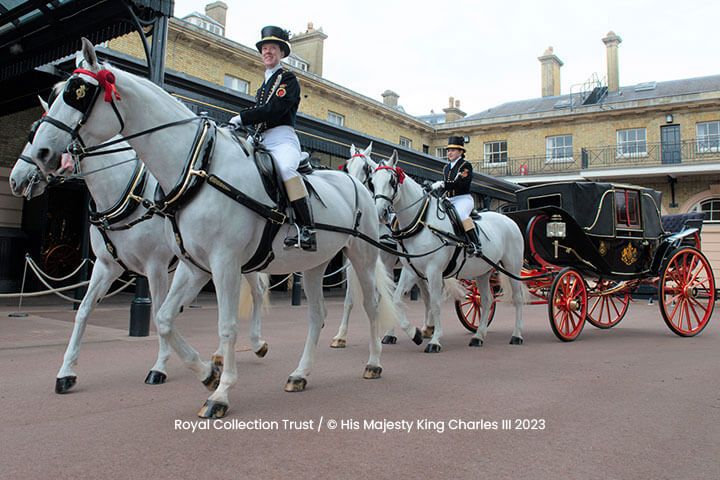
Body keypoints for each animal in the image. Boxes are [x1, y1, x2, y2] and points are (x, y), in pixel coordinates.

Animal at [28, 39, 396, 418]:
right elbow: (162, 318)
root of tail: (356, 184)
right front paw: (207, 372)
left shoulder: (216, 263)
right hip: (313, 264)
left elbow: (225, 325)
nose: (40, 154)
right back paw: (300, 373)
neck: (197, 169)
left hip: (361, 257)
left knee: (370, 304)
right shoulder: (191, 266)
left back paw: (373, 362)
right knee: (315, 315)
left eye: (77, 92)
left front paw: (220, 392)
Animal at [372, 154, 524, 352]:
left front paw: (435, 340)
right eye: (372, 182)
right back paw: (478, 336)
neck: (421, 222)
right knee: (487, 300)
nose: (380, 213)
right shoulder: (410, 270)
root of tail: (509, 220)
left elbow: (435, 304)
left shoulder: (434, 271)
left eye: (391, 181)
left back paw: (517, 335)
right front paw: (415, 334)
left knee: (518, 298)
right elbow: (397, 300)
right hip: (482, 272)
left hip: (512, 267)